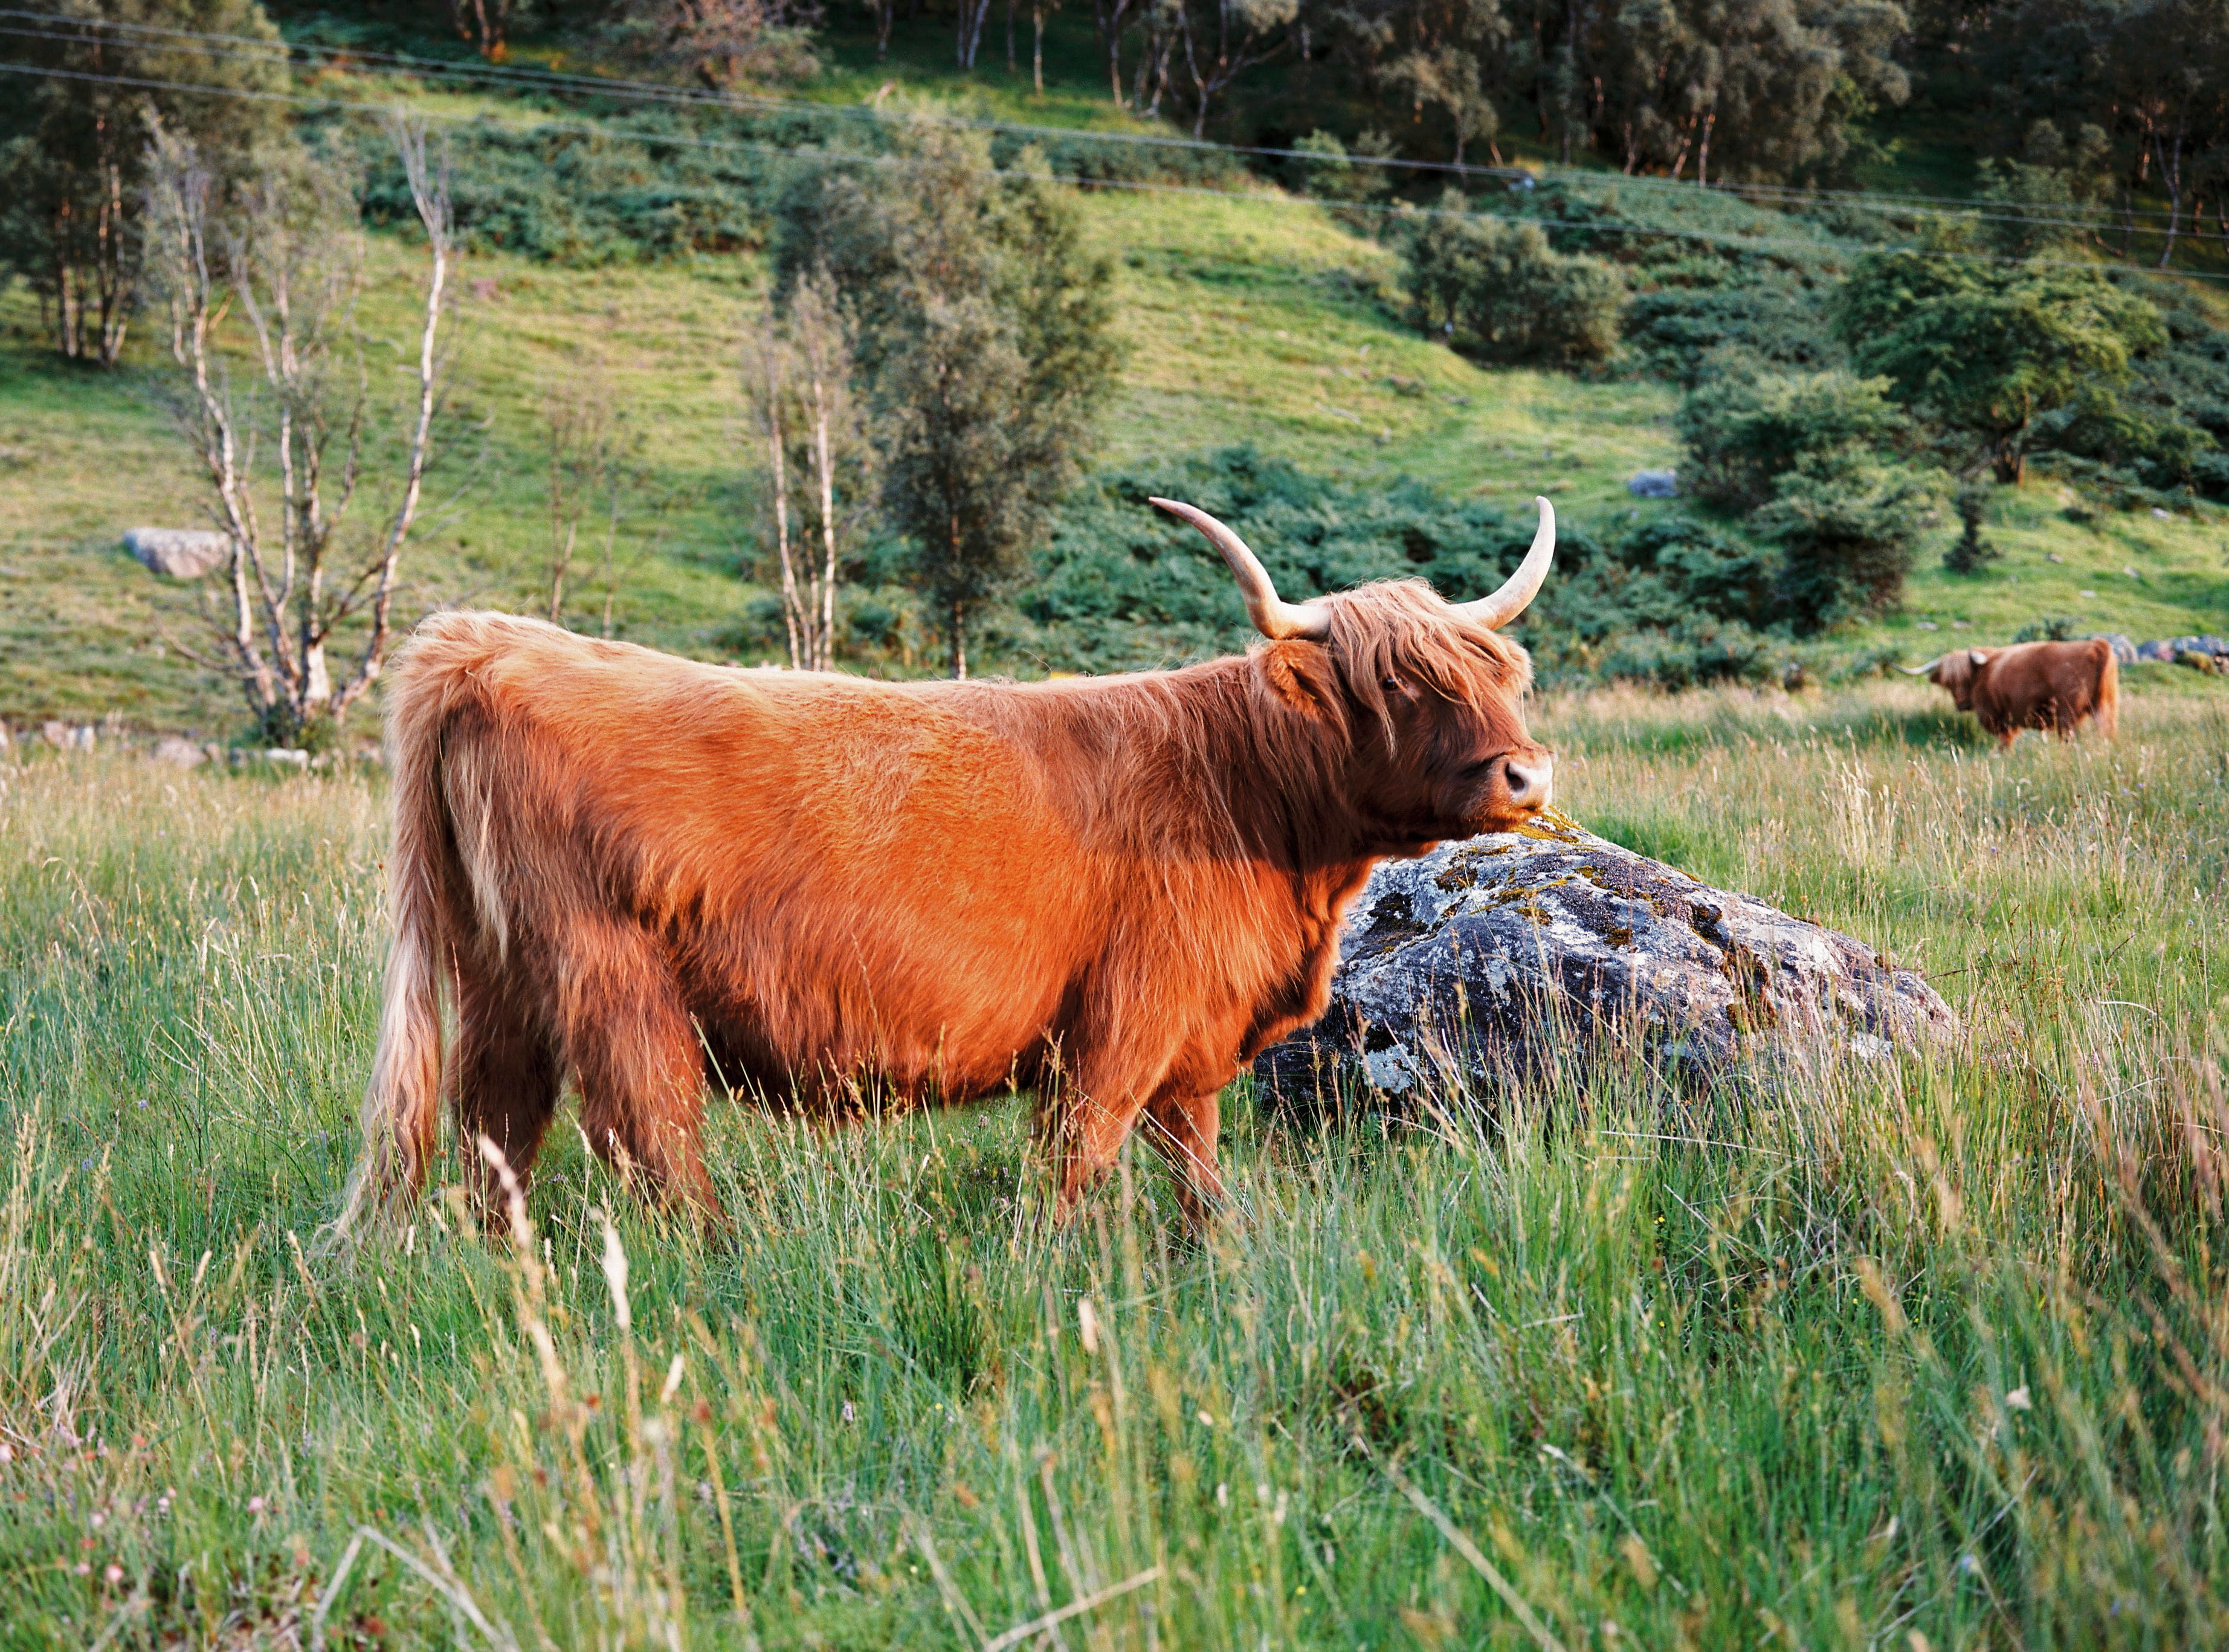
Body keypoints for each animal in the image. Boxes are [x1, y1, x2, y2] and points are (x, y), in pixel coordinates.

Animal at [338, 496, 1560, 1237]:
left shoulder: (1192, 1045)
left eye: (1504, 670)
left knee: (496, 1130)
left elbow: (1198, 1176)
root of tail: (494, 640)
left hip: (501, 978)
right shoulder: (1120, 1020)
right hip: (613, 979)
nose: (1524, 773)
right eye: (1394, 682)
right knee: (651, 1140)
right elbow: (1075, 1163)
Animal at [1903, 639, 2119, 747]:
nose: (1962, 705)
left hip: (2067, 713)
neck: (1985, 672)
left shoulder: (2001, 719)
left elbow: (2005, 743)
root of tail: (2096, 644)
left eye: (1966, 678)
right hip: (2105, 707)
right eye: (1949, 683)